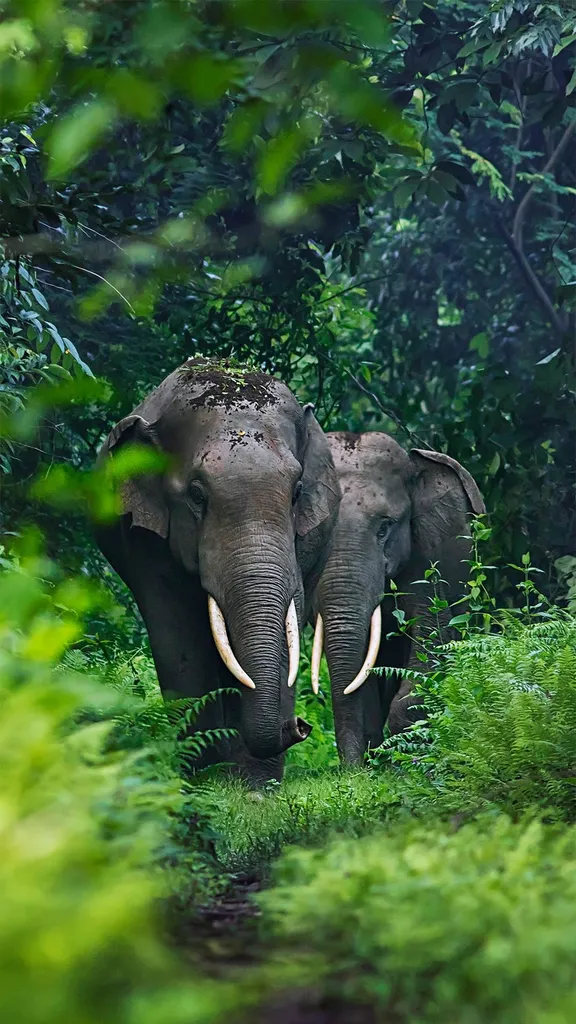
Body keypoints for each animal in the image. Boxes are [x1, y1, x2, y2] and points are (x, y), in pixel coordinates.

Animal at [95, 358, 341, 786]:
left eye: (296, 492)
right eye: (196, 495)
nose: (300, 726)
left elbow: (286, 627)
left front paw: (255, 787)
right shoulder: (144, 544)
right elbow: (180, 637)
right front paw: (205, 778)